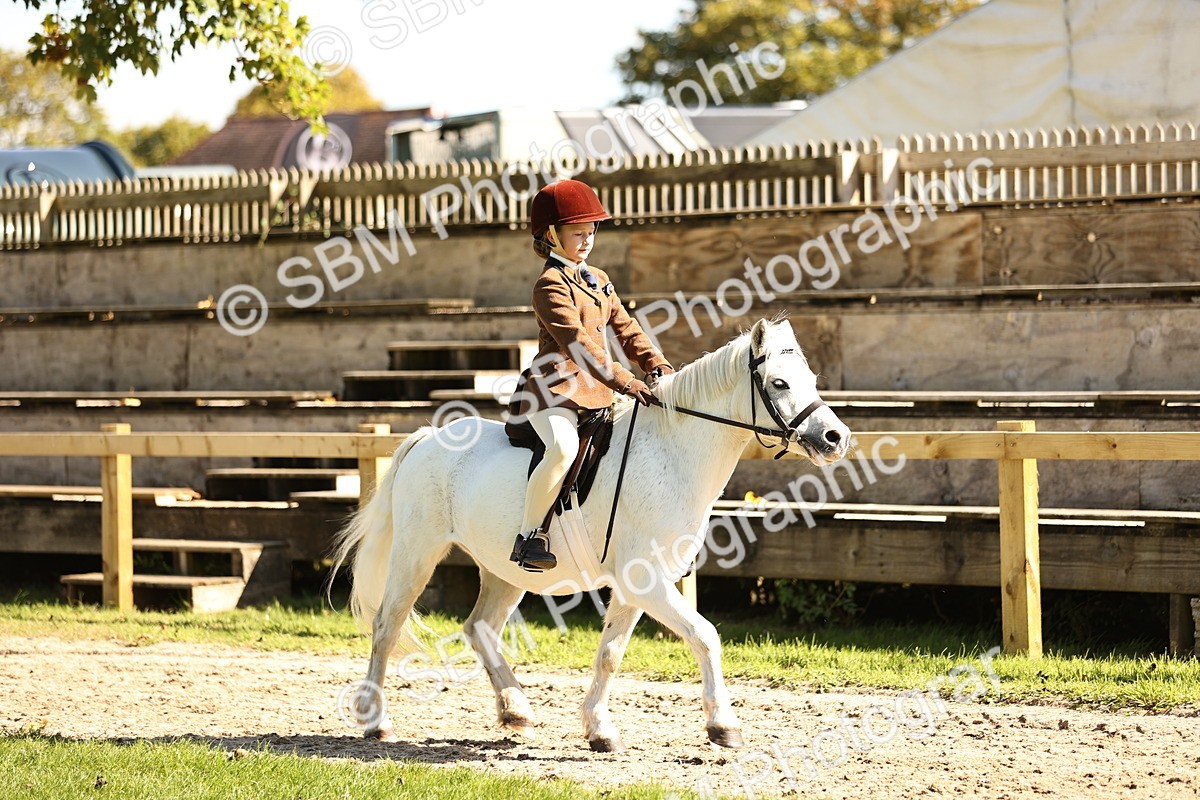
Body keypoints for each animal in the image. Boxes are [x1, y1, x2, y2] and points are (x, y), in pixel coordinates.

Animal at [329, 317, 852, 752]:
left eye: (811, 381)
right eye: (779, 383)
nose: (836, 439)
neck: (673, 452)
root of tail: (426, 437)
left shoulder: (637, 585)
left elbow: (610, 655)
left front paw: (600, 731)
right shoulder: (648, 581)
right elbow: (705, 635)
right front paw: (723, 725)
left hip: (506, 570)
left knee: (480, 628)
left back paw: (516, 711)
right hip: (418, 552)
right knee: (387, 625)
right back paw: (376, 721)